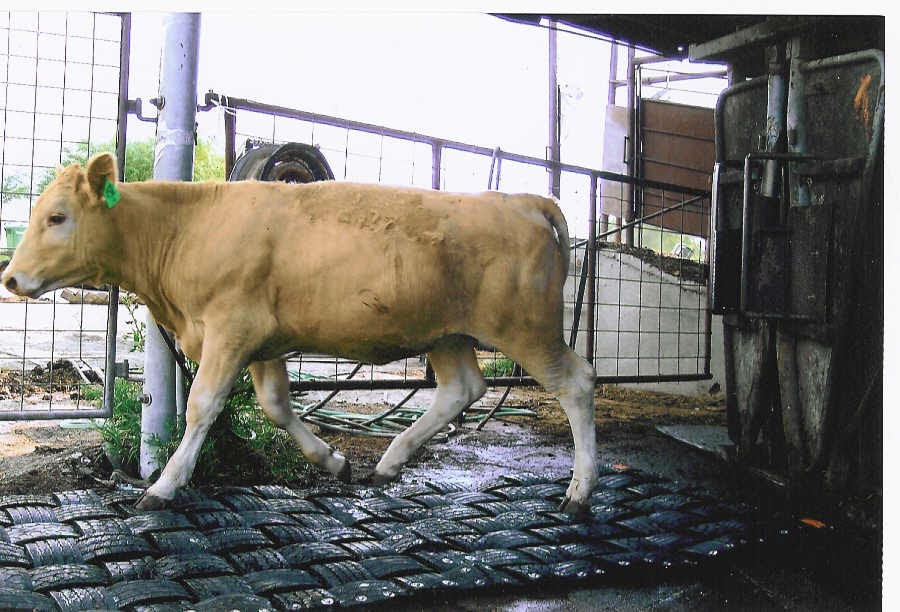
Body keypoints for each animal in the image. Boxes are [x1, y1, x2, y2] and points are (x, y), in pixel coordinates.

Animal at [1, 152, 598, 515]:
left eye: (57, 217)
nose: (10, 278)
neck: (186, 226)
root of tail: (520, 200)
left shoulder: (230, 326)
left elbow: (202, 405)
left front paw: (164, 486)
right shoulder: (262, 339)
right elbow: (276, 406)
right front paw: (332, 460)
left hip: (523, 325)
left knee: (577, 382)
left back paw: (580, 490)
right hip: (446, 332)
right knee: (462, 389)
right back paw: (389, 461)